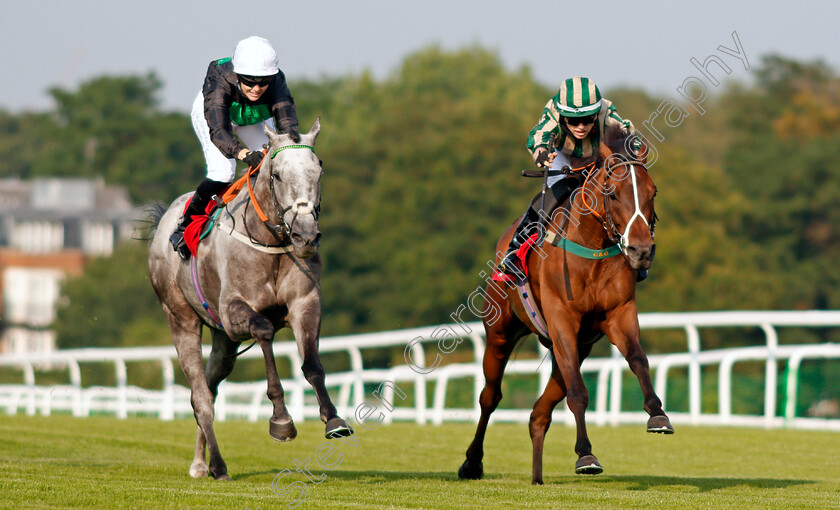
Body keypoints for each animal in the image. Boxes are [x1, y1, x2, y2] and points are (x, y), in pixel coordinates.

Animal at [149, 117, 350, 480]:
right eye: (278, 175)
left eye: (319, 170)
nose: (306, 236)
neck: (270, 240)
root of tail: (163, 222)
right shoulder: (234, 312)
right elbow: (265, 331)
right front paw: (281, 420)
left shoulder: (306, 304)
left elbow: (312, 364)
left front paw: (334, 419)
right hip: (181, 319)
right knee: (201, 396)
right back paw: (217, 465)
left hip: (223, 342)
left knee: (207, 390)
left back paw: (200, 463)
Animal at [456, 141, 672, 484]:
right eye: (613, 193)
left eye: (653, 192)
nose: (641, 250)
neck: (592, 247)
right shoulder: (562, 321)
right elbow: (579, 393)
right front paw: (585, 454)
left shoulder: (619, 314)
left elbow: (639, 359)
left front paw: (658, 414)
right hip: (501, 332)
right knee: (490, 397)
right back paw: (472, 463)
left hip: (572, 350)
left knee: (539, 413)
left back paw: (536, 475)